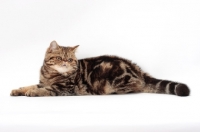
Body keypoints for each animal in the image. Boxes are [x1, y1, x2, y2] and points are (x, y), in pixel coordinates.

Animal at [10, 40, 190, 96]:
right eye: (60, 58)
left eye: (70, 59)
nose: (65, 63)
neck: (50, 75)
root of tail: (137, 69)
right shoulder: (43, 82)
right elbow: (29, 85)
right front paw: (18, 90)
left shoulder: (63, 88)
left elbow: (44, 90)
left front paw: (32, 92)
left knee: (137, 87)